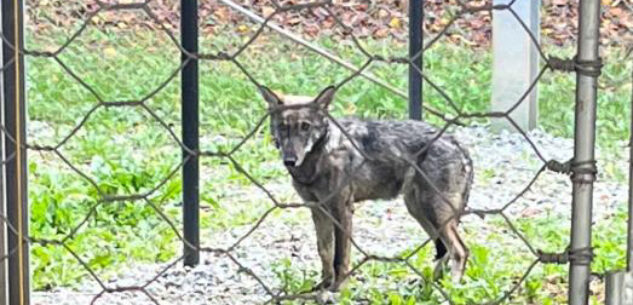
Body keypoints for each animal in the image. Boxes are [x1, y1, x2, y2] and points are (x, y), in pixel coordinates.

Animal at [260, 84, 472, 288]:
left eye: (305, 126)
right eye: (283, 127)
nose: (289, 160)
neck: (320, 156)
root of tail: (457, 143)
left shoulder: (342, 210)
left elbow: (340, 258)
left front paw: (338, 289)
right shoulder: (318, 210)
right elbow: (325, 252)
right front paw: (324, 285)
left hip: (433, 212)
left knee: (460, 250)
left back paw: (451, 288)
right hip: (419, 211)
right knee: (445, 251)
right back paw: (428, 286)